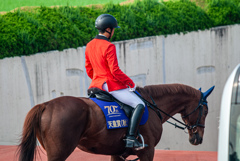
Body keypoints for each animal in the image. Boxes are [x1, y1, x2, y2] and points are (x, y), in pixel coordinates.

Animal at [17, 83, 215, 161]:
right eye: (205, 111)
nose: (197, 138)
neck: (153, 106)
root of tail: (46, 105)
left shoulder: (118, 154)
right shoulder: (147, 152)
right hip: (58, 154)